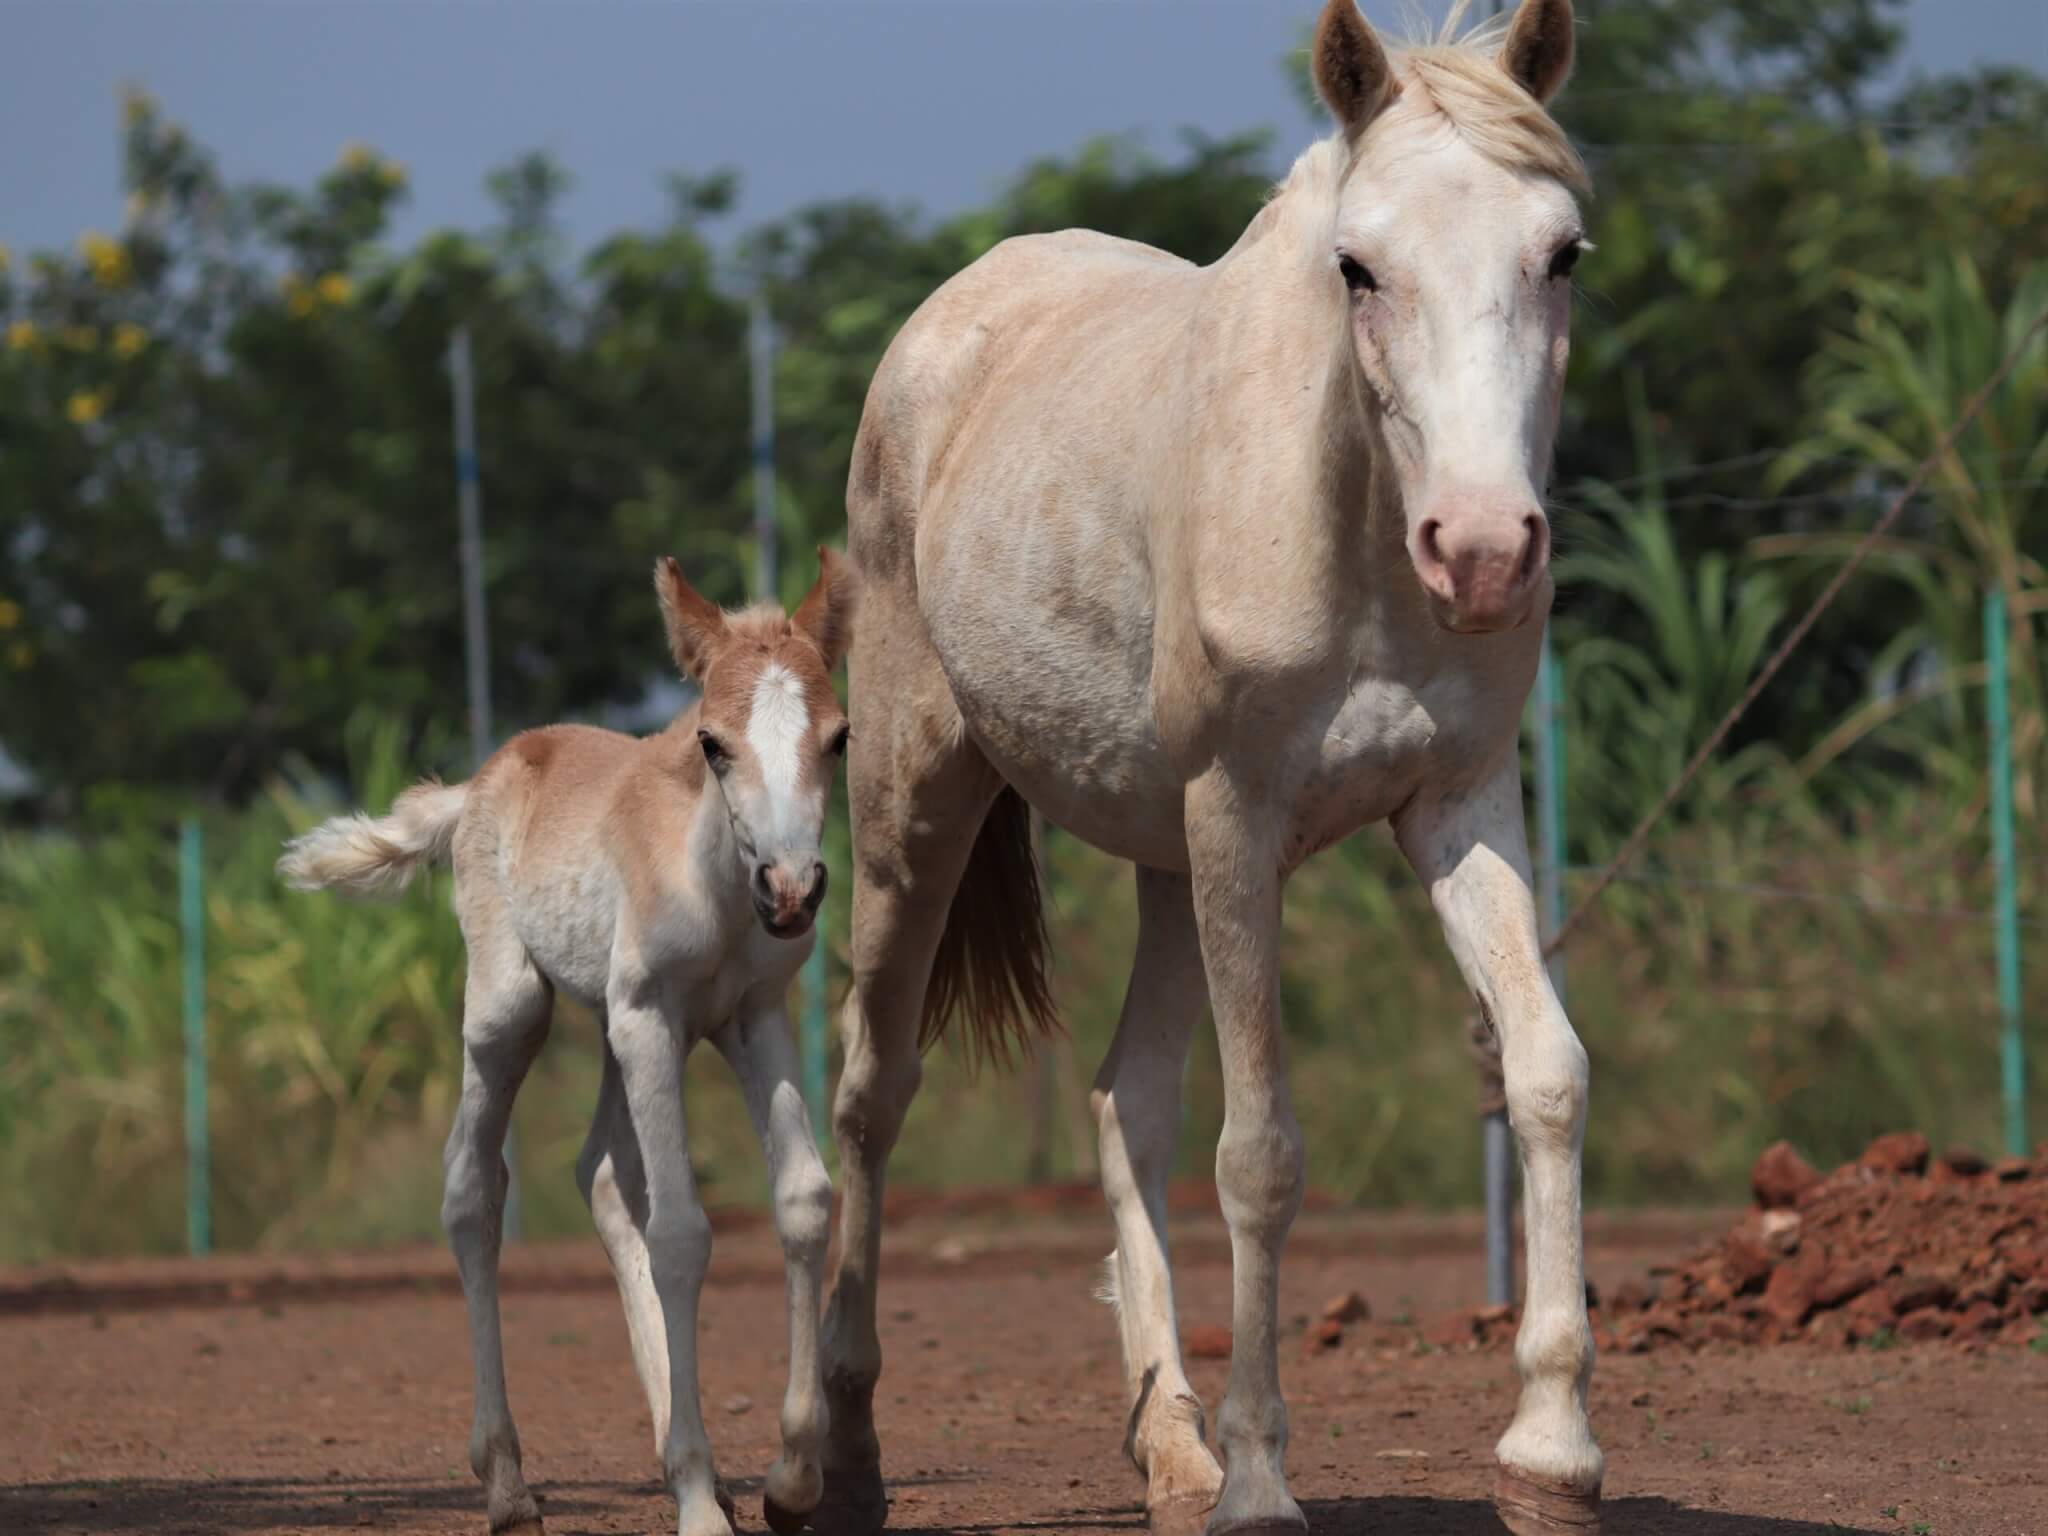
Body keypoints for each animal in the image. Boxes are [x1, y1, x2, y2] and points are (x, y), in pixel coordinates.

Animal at [815, 3, 1597, 1536]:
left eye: (1561, 254)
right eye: (1359, 265)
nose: (1483, 551)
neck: (1348, 526)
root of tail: (949, 321)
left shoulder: (1458, 807)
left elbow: (1544, 1069)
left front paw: (1552, 1454)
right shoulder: (1242, 819)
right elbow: (1262, 1153)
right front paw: (1260, 1480)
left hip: (1164, 859)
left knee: (1128, 1099)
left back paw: (1167, 1447)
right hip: (916, 814)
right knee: (872, 1093)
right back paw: (828, 1459)